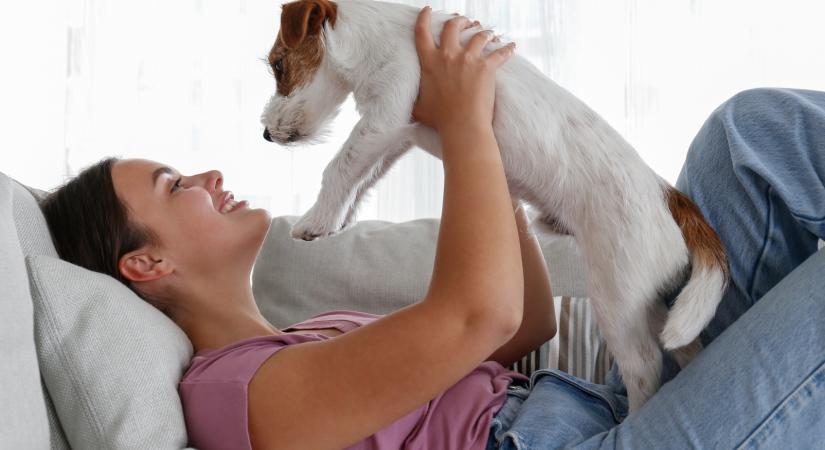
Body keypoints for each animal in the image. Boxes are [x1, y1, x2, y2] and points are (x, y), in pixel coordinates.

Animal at [260, 0, 728, 412]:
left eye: (279, 65)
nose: (264, 134)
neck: (376, 33)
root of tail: (666, 194)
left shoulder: (386, 113)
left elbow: (339, 165)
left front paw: (314, 220)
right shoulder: (398, 134)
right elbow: (362, 177)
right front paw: (335, 221)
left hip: (619, 294)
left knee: (644, 366)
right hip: (650, 300)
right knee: (688, 346)